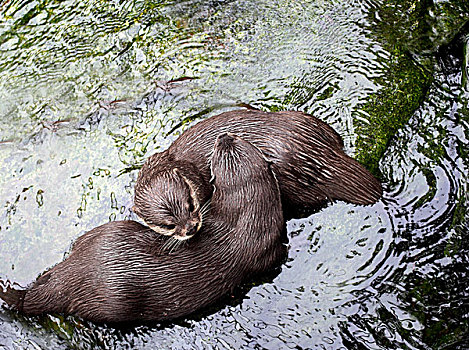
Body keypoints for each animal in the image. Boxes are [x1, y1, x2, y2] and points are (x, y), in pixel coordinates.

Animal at [0, 133, 286, 322]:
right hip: (114, 302)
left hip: (109, 231)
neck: (245, 215)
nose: (224, 136)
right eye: (217, 150)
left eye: (237, 142)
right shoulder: (268, 251)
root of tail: (73, 275)